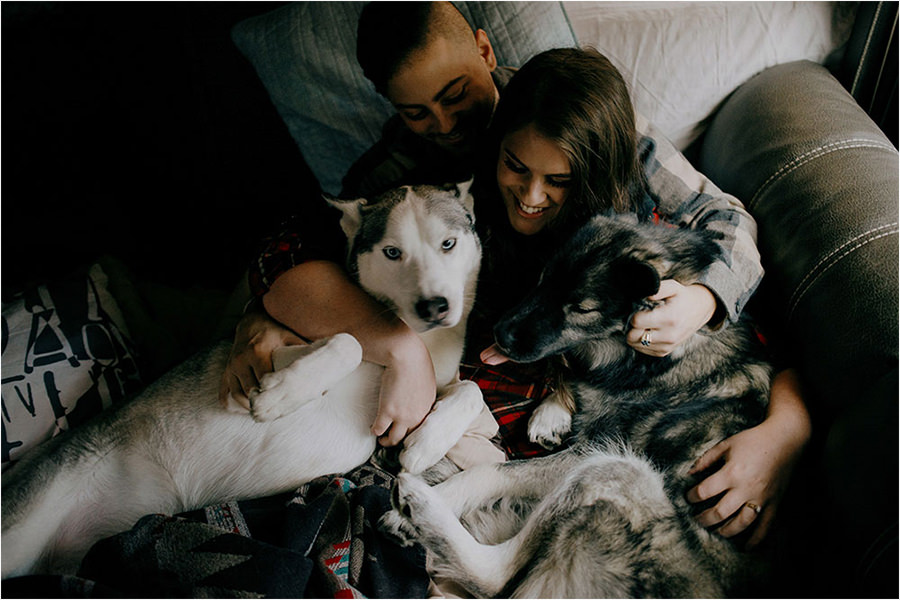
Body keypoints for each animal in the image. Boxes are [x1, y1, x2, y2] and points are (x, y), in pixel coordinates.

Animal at [3, 179, 488, 576]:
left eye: (448, 243)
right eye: (392, 252)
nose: (434, 307)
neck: (415, 340)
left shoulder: (429, 394)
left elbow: (471, 390)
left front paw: (426, 444)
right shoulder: (274, 351)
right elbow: (349, 341)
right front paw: (279, 397)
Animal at [382, 213, 772, 596]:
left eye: (582, 308)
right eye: (543, 278)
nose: (499, 335)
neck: (652, 359)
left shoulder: (593, 449)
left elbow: (493, 472)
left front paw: (436, 497)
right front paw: (553, 412)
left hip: (614, 470)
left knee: (497, 578)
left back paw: (416, 505)